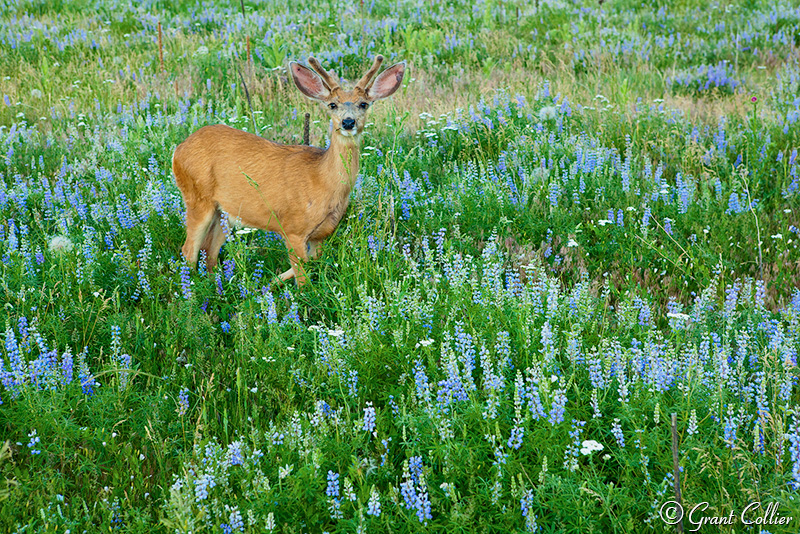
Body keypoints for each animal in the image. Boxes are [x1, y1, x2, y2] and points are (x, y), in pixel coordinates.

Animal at [171, 55, 404, 284]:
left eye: (364, 104)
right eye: (332, 105)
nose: (348, 122)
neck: (323, 181)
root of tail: (179, 149)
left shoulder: (321, 234)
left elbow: (312, 263)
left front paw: (271, 282)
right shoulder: (293, 228)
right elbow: (303, 279)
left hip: (224, 211)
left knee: (209, 251)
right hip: (197, 197)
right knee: (188, 250)